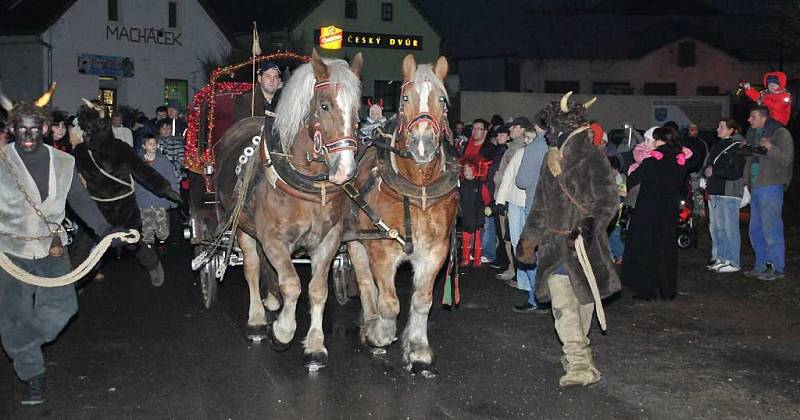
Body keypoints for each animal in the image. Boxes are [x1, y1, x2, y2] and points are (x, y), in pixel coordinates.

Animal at [212, 50, 362, 370]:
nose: (344, 171)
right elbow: (292, 284)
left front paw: (315, 347)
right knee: (252, 267)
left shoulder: (329, 240)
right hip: (241, 227)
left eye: (358, 109)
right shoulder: (273, 239)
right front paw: (282, 332)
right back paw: (258, 320)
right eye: (324, 105)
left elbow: (317, 290)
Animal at [346, 54, 460, 376]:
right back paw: (369, 324)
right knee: (365, 282)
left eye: (442, 100)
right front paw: (381, 332)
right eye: (405, 98)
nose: (423, 144)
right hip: (356, 242)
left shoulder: (435, 251)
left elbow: (422, 300)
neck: (417, 187)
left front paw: (418, 349)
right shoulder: (382, 250)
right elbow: (388, 301)